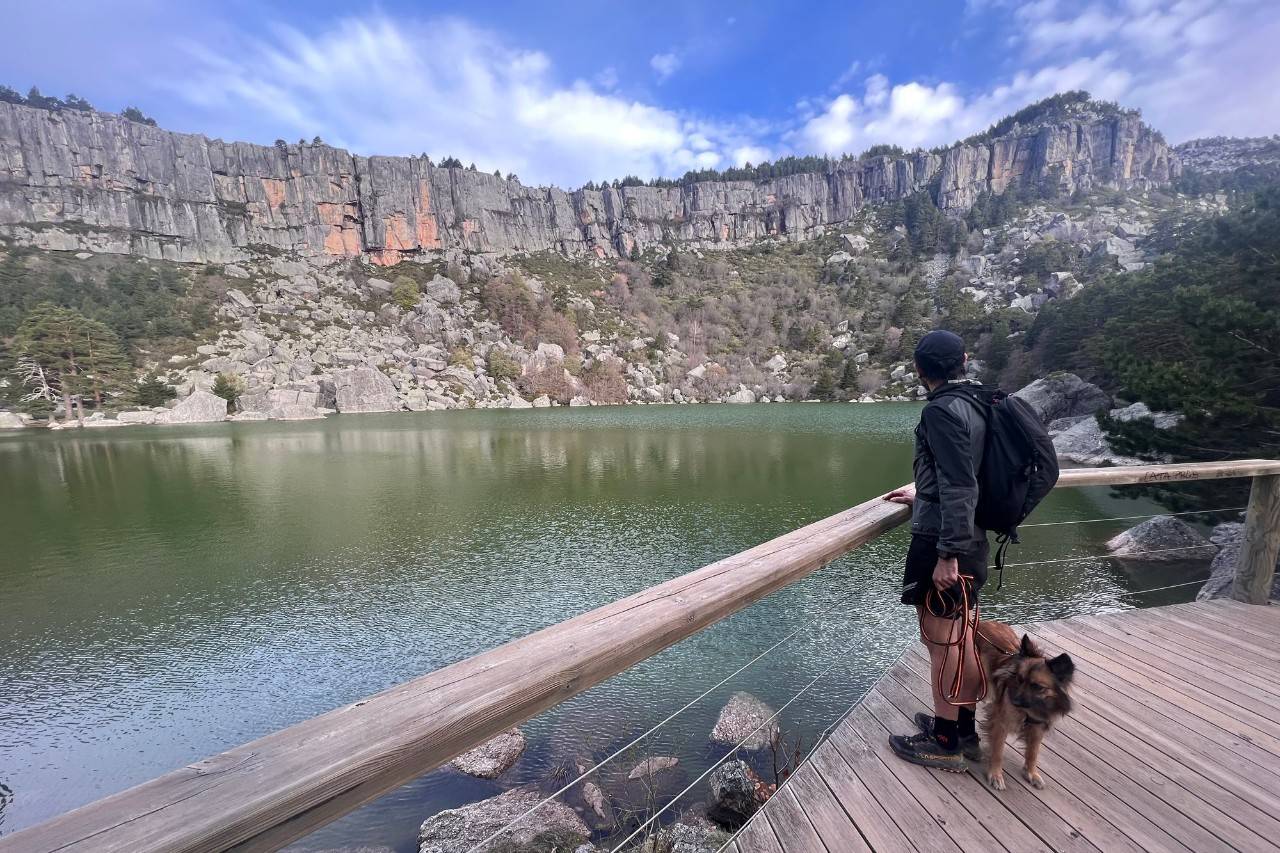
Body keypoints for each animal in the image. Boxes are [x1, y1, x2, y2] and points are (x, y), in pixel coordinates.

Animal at [972, 617, 1075, 788]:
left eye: (1037, 686)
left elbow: (1033, 752)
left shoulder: (1037, 727)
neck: (1029, 710)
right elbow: (998, 751)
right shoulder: (1000, 722)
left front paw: (1031, 773)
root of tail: (982, 622)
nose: (1014, 701)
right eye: (1019, 679)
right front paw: (996, 774)